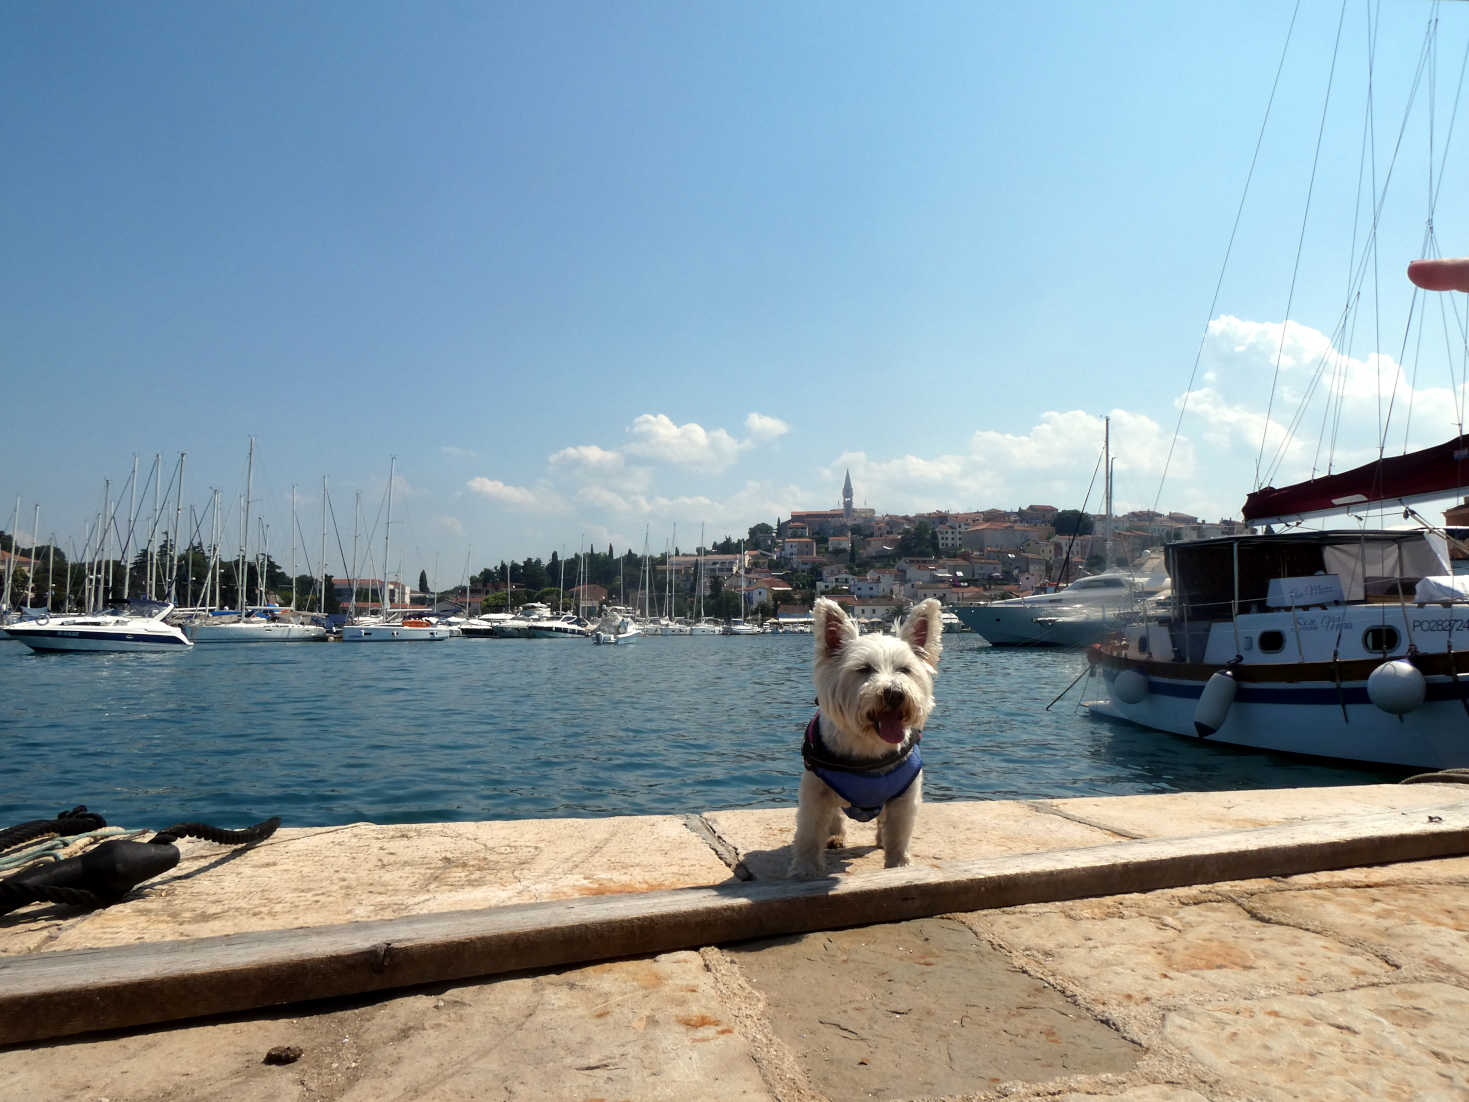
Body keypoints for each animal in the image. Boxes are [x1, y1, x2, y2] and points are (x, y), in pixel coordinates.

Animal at [787, 596, 946, 881]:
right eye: (864, 669)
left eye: (905, 669)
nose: (894, 693)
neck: (869, 748)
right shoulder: (815, 792)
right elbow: (809, 833)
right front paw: (804, 871)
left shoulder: (905, 796)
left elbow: (899, 835)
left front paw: (899, 867)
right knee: (835, 817)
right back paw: (835, 837)